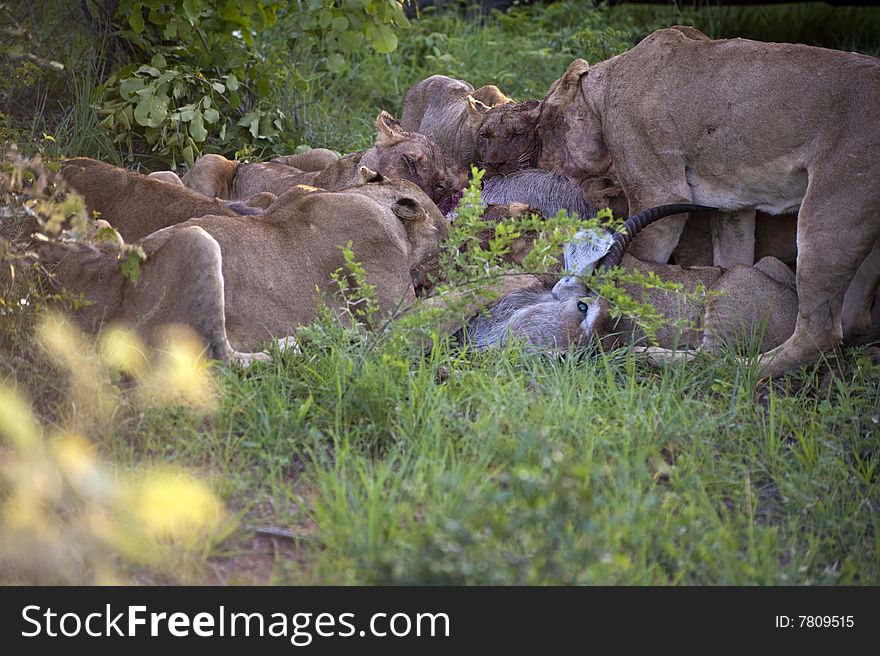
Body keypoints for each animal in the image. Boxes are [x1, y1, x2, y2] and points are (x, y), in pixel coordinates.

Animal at [47, 169, 446, 364]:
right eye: (445, 242)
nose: (443, 270)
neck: (364, 196)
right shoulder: (390, 316)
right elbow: (438, 308)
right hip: (198, 244)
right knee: (218, 358)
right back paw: (296, 347)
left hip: (98, 232)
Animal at [536, 26, 880, 374]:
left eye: (539, 127)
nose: (538, 168)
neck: (603, 90)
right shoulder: (733, 207)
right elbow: (731, 263)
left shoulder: (659, 191)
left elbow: (640, 261)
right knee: (852, 321)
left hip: (831, 212)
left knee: (818, 333)